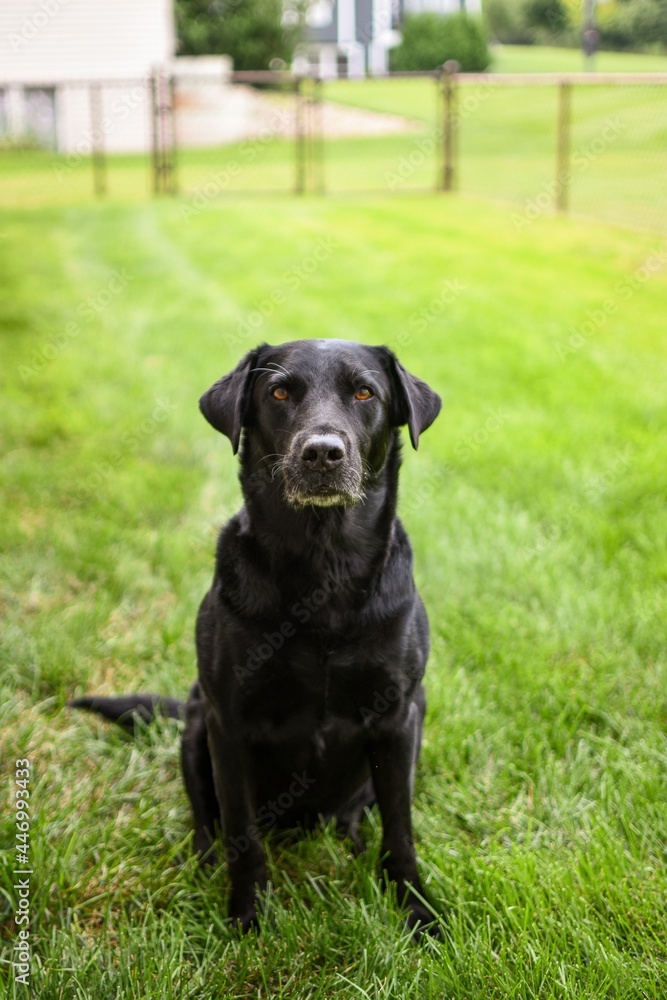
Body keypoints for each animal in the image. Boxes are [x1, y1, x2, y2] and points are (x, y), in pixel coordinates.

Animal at [70, 342, 440, 936]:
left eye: (365, 392)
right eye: (279, 392)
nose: (322, 453)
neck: (323, 570)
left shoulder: (397, 715)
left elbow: (400, 829)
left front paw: (415, 911)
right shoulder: (229, 720)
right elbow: (241, 831)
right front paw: (247, 916)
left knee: (358, 811)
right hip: (197, 720)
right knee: (207, 820)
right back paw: (202, 866)